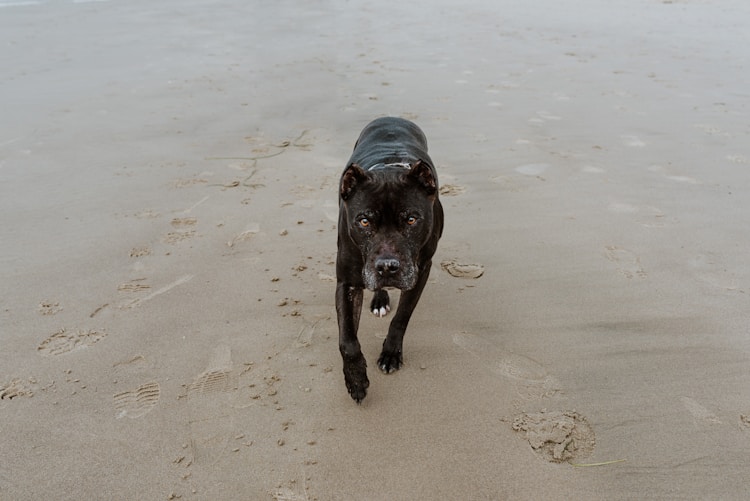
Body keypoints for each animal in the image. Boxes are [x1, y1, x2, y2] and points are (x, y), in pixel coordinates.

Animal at [338, 115, 444, 400]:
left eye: (411, 219)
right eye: (364, 221)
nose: (387, 267)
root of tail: (391, 117)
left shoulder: (421, 271)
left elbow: (402, 317)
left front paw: (391, 354)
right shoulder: (347, 281)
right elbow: (348, 340)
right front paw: (356, 379)